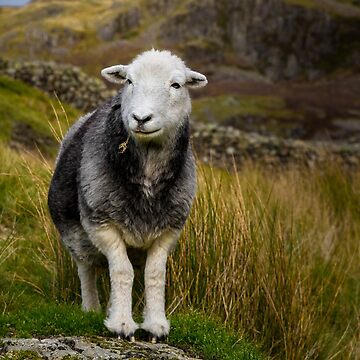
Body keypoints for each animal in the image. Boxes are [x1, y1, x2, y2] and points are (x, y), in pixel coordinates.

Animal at [47, 49, 208, 342]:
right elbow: (122, 271)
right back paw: (91, 308)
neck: (147, 176)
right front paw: (121, 324)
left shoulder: (169, 230)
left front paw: (156, 326)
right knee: (86, 268)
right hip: (77, 236)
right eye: (129, 81)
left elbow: (154, 274)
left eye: (176, 85)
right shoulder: (101, 223)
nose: (141, 118)